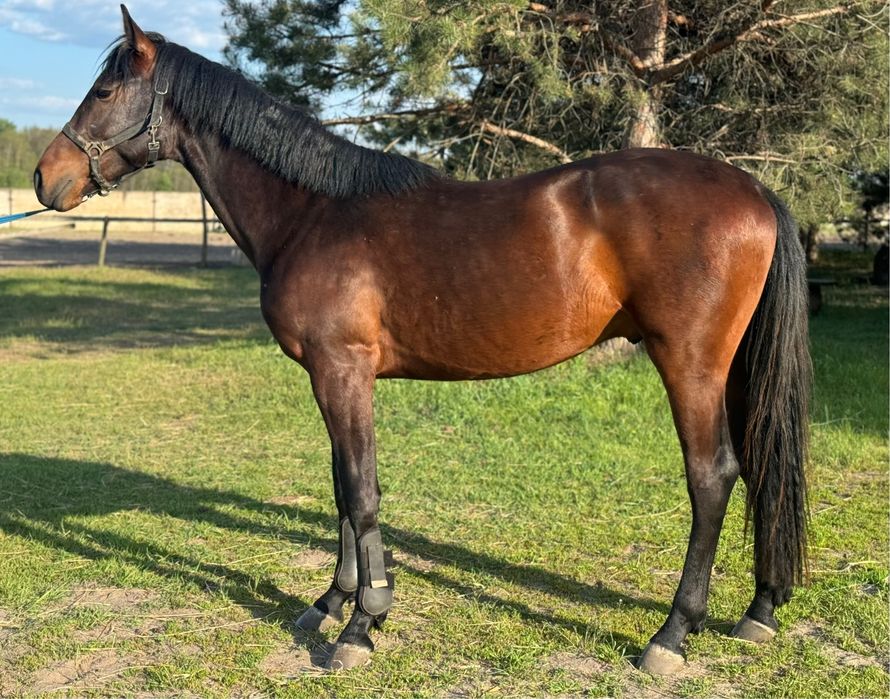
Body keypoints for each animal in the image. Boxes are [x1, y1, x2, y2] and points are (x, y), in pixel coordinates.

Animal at [34, 6, 811, 675]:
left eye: (105, 90)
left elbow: (361, 490)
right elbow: (342, 488)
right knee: (761, 464)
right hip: (733, 368)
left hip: (690, 362)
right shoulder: (331, 376)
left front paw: (362, 622)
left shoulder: (342, 371)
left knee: (712, 476)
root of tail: (754, 190)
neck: (314, 213)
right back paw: (760, 610)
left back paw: (672, 635)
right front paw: (332, 601)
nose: (46, 178)